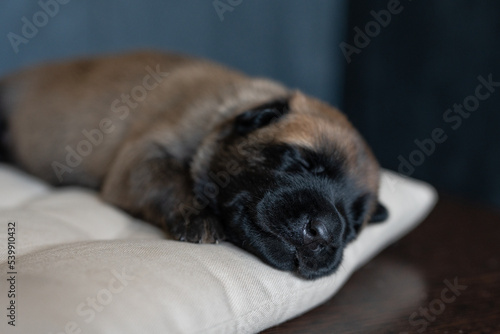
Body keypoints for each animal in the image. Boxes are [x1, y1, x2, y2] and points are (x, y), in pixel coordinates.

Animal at [0, 51, 388, 280]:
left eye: (353, 226)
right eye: (302, 162)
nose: (324, 233)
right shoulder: (141, 158)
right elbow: (171, 177)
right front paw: (197, 216)